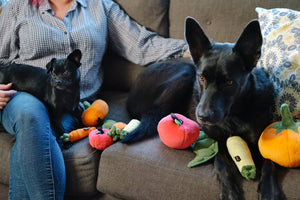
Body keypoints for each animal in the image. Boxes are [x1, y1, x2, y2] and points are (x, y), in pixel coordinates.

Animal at [122, 17, 284, 200]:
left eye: (229, 82)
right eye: (201, 78)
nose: (202, 117)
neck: (234, 114)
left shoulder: (260, 139)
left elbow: (270, 162)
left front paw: (269, 190)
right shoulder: (212, 138)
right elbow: (220, 161)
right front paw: (229, 190)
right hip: (185, 73)